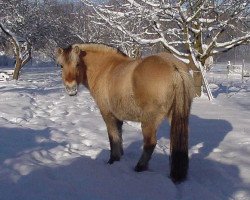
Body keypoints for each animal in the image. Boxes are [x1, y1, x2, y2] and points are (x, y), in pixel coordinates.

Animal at [56, 43, 195, 183]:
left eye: (77, 64)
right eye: (61, 65)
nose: (71, 89)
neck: (105, 69)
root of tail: (173, 66)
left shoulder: (108, 115)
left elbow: (113, 138)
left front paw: (112, 160)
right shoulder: (118, 117)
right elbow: (119, 137)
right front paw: (119, 157)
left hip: (149, 121)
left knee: (150, 144)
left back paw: (139, 167)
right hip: (176, 117)